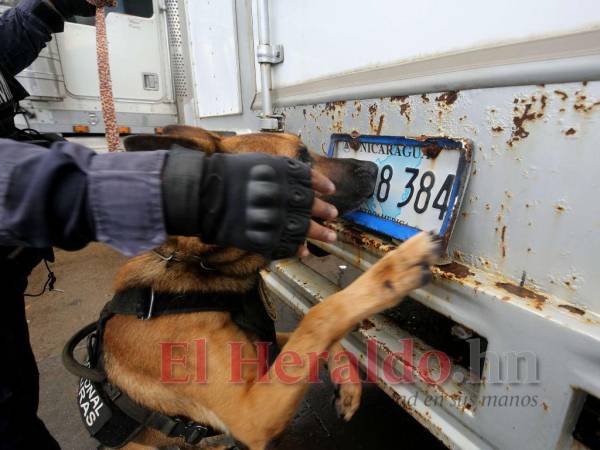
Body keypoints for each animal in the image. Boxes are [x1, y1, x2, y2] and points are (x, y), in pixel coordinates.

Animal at [96, 125, 438, 448]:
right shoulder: (253, 414)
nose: (373, 168)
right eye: (300, 160)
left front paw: (348, 383)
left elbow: (316, 333)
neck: (199, 267)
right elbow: (322, 314)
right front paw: (397, 266)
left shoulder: (270, 353)